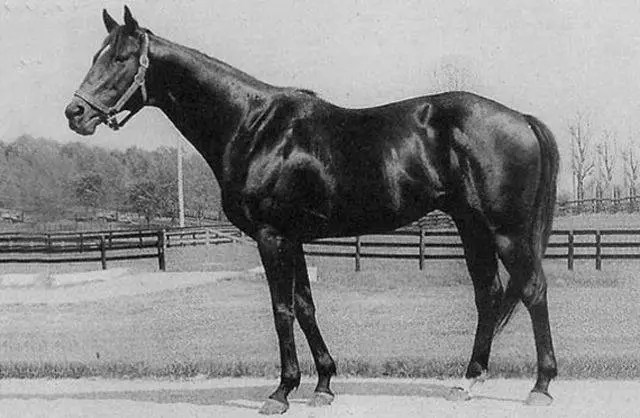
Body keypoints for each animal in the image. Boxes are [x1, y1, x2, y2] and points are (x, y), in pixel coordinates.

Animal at [65, 7, 559, 414]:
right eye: (96, 55)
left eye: (121, 58)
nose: (75, 114)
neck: (254, 126)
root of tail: (522, 118)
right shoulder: (294, 237)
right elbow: (306, 306)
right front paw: (323, 384)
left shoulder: (271, 236)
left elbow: (281, 309)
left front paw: (281, 392)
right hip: (472, 226)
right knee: (489, 295)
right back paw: (468, 382)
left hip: (507, 231)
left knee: (532, 290)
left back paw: (541, 386)